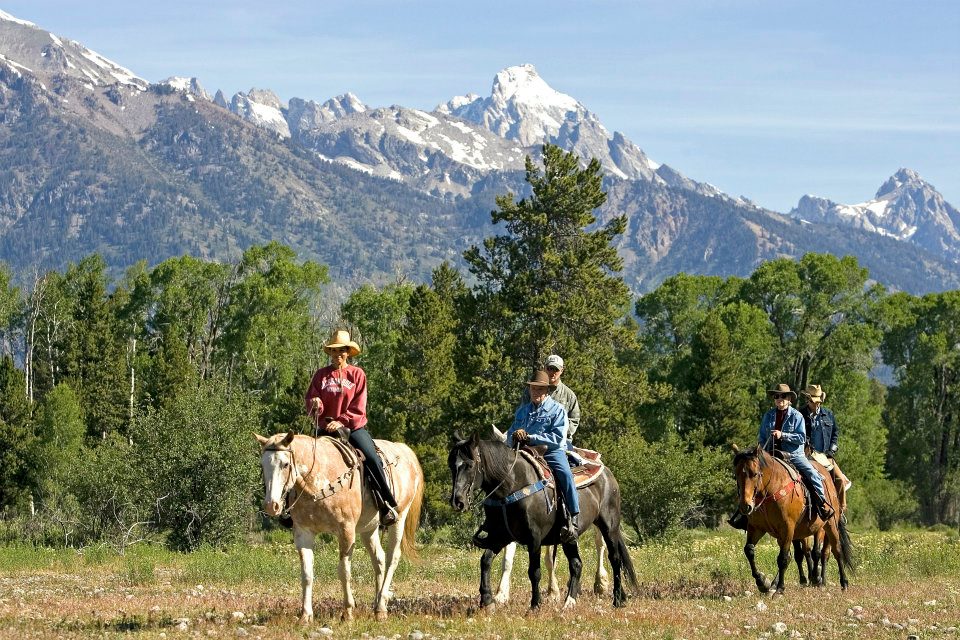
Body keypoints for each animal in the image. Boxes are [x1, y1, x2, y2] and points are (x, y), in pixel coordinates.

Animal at [255, 432, 424, 624]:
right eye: (262, 464)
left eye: (285, 464)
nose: (271, 506)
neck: (318, 483)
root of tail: (403, 449)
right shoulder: (303, 533)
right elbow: (307, 574)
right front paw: (305, 615)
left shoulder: (346, 531)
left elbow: (344, 572)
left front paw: (347, 612)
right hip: (368, 528)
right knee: (379, 559)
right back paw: (377, 606)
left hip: (399, 519)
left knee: (391, 558)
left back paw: (381, 606)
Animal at [450, 436, 636, 608]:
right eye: (451, 465)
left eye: (469, 465)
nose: (457, 501)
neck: (513, 485)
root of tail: (607, 473)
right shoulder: (500, 536)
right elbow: (486, 561)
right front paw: (488, 600)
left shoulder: (534, 538)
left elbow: (534, 571)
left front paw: (535, 605)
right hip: (569, 538)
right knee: (576, 564)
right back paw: (570, 602)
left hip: (609, 526)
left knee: (614, 558)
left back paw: (616, 598)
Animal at [732, 442, 852, 592]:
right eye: (736, 475)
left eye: (754, 474)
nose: (745, 506)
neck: (771, 489)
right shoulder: (756, 528)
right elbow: (749, 550)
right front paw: (762, 582)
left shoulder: (787, 528)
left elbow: (783, 558)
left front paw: (780, 588)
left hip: (830, 524)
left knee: (835, 550)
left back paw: (841, 582)